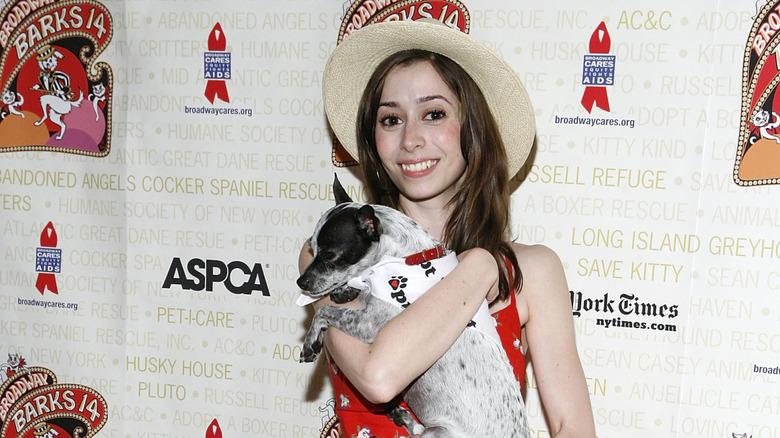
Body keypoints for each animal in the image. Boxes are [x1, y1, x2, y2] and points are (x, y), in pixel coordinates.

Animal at [298, 177, 532, 438]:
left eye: (330, 254)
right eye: (311, 248)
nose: (301, 282)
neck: (403, 258)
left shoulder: (370, 323)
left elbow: (324, 312)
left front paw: (311, 343)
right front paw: (347, 289)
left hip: (437, 433)